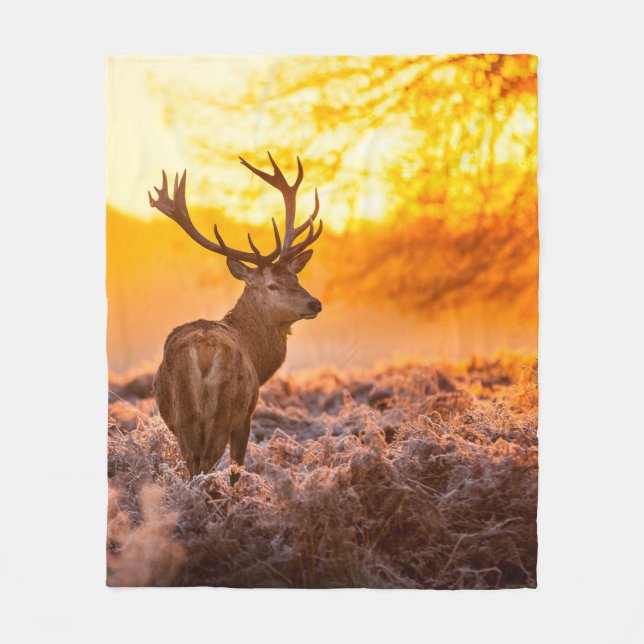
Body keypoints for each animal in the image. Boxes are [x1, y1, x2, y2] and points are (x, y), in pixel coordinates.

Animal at [148, 153, 323, 484]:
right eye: (272, 285)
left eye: (296, 277)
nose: (315, 303)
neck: (258, 357)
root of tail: (203, 350)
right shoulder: (247, 415)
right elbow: (237, 469)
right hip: (225, 409)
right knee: (207, 465)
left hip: (183, 414)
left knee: (192, 465)